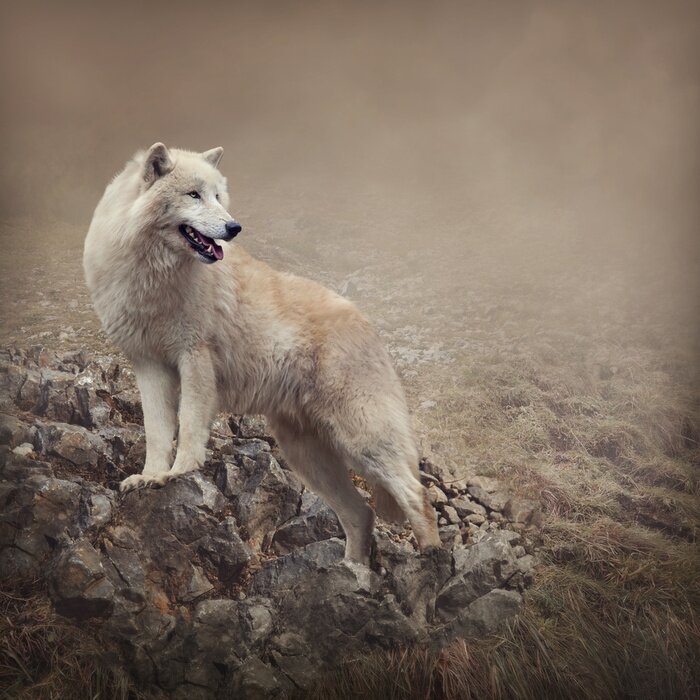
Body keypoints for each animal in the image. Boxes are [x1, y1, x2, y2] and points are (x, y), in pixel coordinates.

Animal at [83, 143, 440, 564]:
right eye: (193, 195)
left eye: (218, 196)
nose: (234, 228)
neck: (153, 276)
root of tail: (367, 323)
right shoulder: (149, 365)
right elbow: (156, 432)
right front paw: (151, 477)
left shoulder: (194, 358)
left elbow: (188, 426)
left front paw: (179, 473)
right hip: (308, 457)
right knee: (362, 514)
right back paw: (353, 572)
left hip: (361, 440)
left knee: (417, 496)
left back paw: (431, 560)